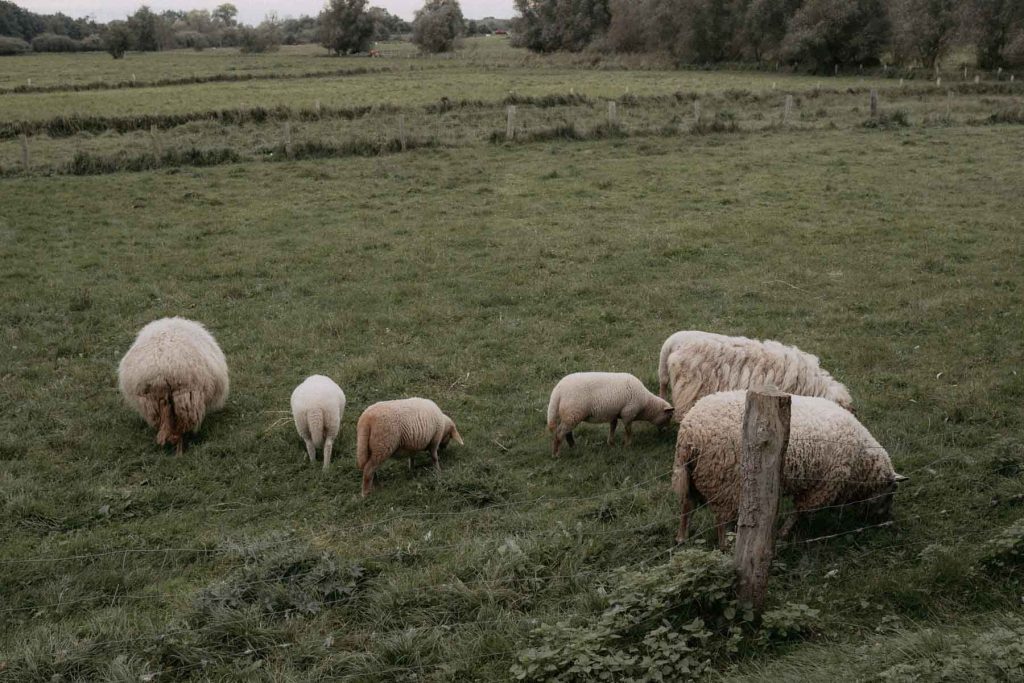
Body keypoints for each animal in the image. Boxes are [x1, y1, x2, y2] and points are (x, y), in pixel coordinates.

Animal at [672, 390, 907, 549]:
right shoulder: (822, 486)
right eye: (890, 494)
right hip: (722, 480)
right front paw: (784, 533)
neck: (861, 461)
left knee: (686, 506)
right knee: (721, 520)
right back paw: (725, 546)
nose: (886, 522)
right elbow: (799, 511)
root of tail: (690, 432)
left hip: (693, 475)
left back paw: (682, 538)